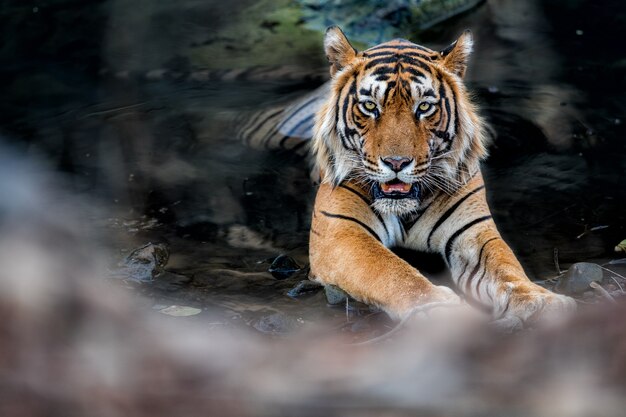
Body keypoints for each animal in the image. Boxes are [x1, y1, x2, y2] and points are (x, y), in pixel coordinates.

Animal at [304, 26, 572, 328]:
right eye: (371, 106)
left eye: (423, 107)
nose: (396, 162)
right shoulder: (339, 231)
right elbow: (389, 270)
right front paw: (439, 309)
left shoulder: (473, 231)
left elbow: (506, 265)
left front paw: (540, 301)